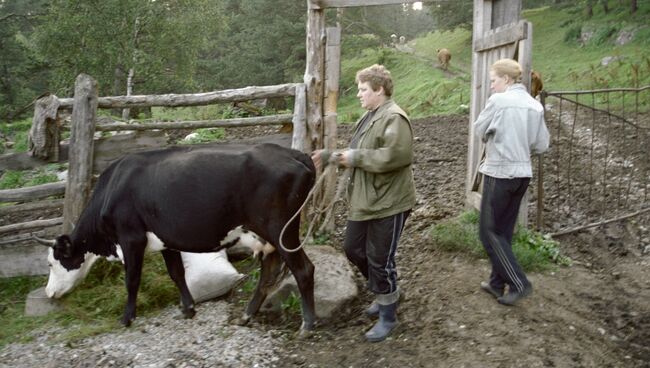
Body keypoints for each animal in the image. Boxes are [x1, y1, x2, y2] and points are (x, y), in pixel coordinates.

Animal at [36, 142, 316, 334]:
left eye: (51, 263)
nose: (48, 293)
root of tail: (293, 153)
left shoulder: (131, 239)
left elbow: (132, 280)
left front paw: (127, 318)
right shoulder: (165, 241)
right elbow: (176, 273)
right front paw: (188, 309)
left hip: (282, 232)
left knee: (304, 269)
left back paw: (307, 325)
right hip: (267, 238)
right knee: (268, 274)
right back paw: (247, 315)